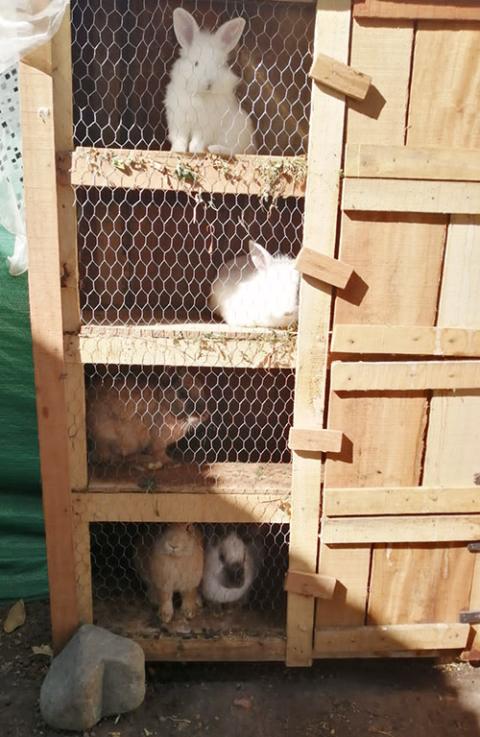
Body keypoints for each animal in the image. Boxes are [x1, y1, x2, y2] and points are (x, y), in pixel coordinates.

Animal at [164, 8, 255, 155]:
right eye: (196, 63)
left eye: (219, 65)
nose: (209, 83)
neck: (201, 95)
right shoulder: (179, 121)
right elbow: (180, 138)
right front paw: (178, 150)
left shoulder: (205, 127)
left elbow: (198, 139)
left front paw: (195, 150)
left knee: (233, 150)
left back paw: (215, 148)